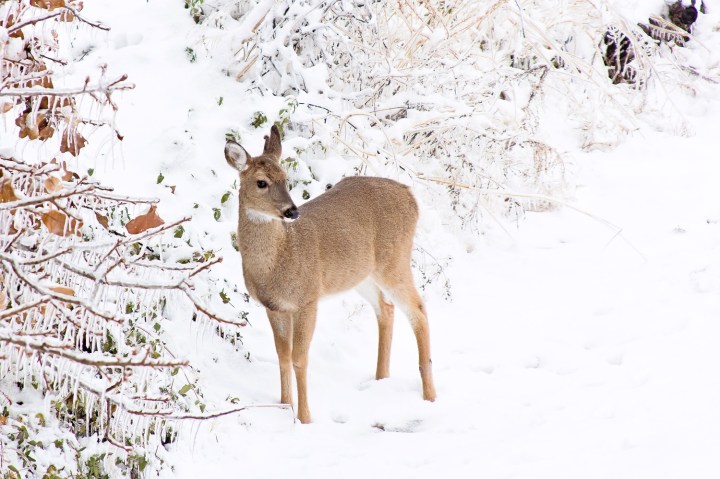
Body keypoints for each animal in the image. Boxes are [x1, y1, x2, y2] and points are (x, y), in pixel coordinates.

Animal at [225, 124, 436, 424]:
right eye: (261, 182)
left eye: (286, 178)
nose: (291, 211)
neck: (279, 259)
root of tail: (411, 196)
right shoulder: (274, 307)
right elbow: (282, 356)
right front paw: (284, 405)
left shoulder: (307, 298)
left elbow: (299, 358)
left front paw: (305, 417)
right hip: (361, 274)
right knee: (386, 308)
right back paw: (380, 378)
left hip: (394, 261)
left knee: (418, 309)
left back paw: (429, 394)